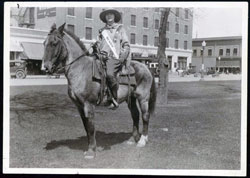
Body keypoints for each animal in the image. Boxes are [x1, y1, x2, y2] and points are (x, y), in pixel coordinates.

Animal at [42, 23, 156, 159]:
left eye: (54, 43)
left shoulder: (88, 105)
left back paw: (142, 140)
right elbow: (86, 126)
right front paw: (91, 147)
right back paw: (133, 139)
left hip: (143, 97)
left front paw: (91, 151)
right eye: (44, 43)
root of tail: (146, 67)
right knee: (135, 114)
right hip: (131, 98)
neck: (81, 69)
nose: (46, 67)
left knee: (145, 115)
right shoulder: (79, 106)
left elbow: (91, 127)